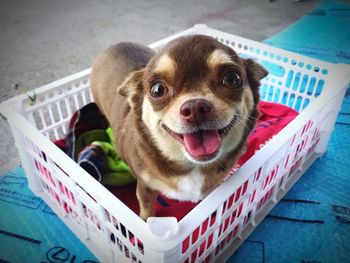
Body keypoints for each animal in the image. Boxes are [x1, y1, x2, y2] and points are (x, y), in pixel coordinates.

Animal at [90, 35, 268, 221]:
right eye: (157, 89)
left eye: (232, 79)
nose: (196, 108)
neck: (191, 165)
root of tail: (113, 46)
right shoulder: (145, 186)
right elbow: (146, 209)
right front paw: (144, 222)